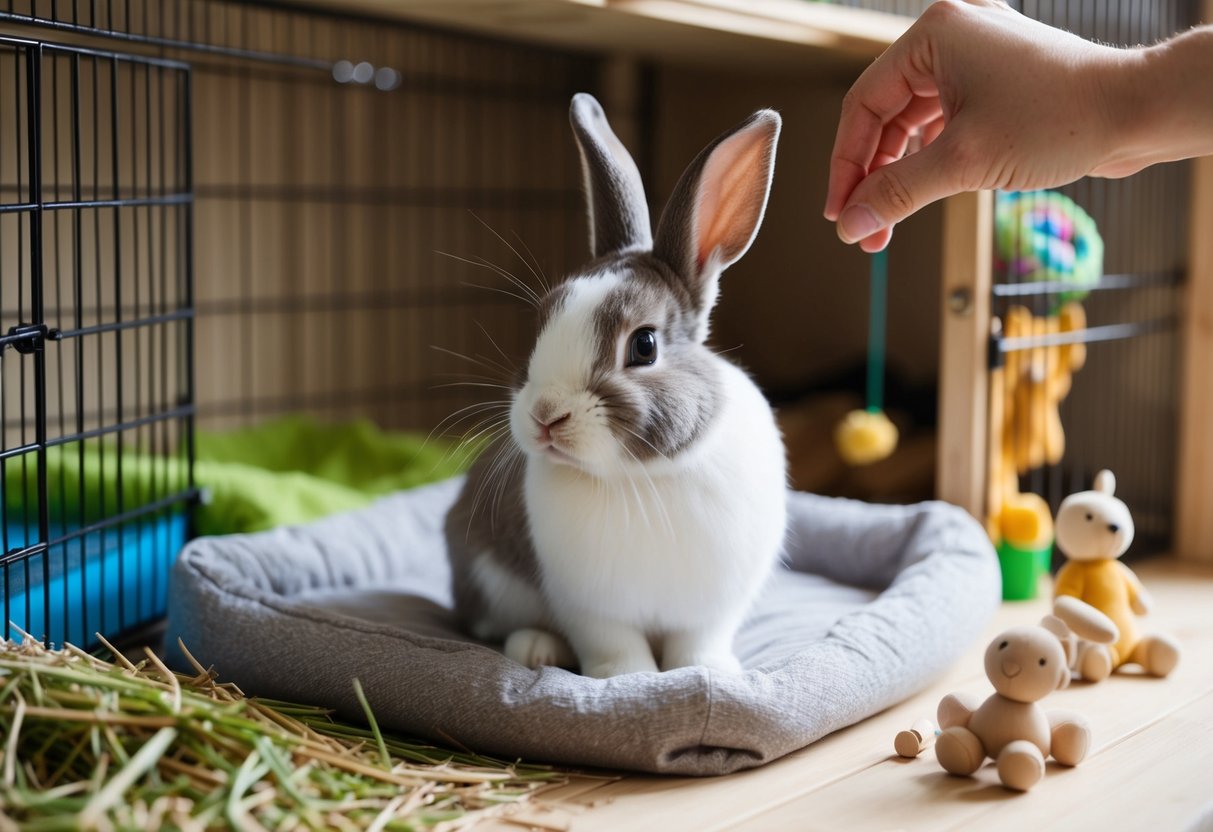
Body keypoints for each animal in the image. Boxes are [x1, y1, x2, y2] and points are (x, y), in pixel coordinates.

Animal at [444, 93, 787, 679]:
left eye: (644, 346)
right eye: (541, 323)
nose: (545, 416)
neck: (642, 477)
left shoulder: (712, 610)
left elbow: (697, 645)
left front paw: (711, 673)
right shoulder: (591, 610)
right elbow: (615, 646)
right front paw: (630, 680)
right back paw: (537, 649)